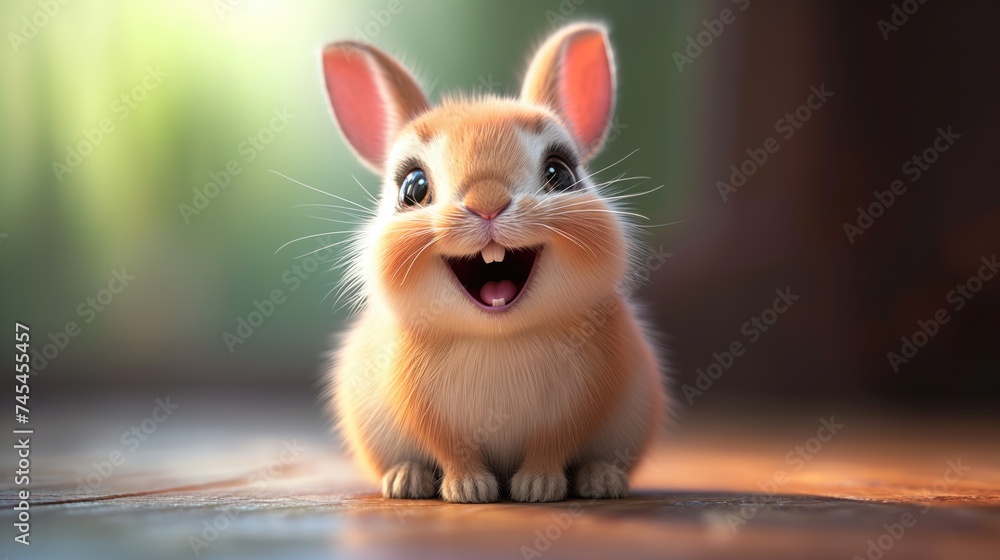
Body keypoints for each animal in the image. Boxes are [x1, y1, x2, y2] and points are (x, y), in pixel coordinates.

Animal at [320, 23, 668, 503]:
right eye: (413, 187)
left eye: (559, 173)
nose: (487, 204)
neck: (497, 336)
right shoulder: (422, 412)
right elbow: (451, 449)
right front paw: (470, 489)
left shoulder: (580, 403)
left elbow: (552, 445)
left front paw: (537, 487)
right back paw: (405, 480)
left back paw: (601, 480)